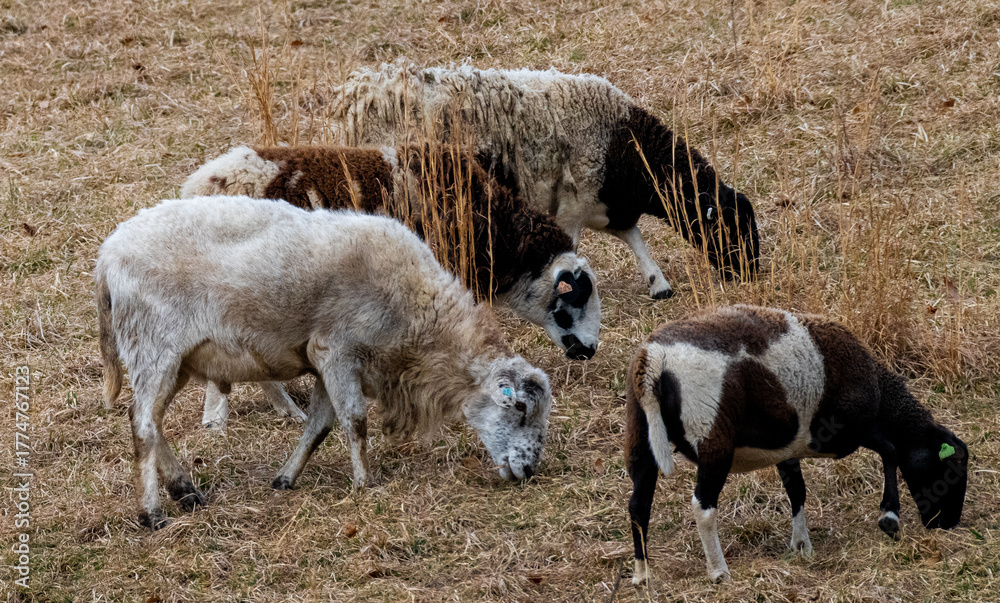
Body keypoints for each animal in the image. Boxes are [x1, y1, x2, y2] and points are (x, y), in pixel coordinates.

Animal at [96, 196, 553, 529]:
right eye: (520, 408)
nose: (530, 470)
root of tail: (107, 254)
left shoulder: (323, 362)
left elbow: (319, 426)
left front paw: (285, 479)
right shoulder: (338, 351)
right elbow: (355, 421)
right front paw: (366, 484)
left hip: (175, 359)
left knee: (150, 423)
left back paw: (185, 491)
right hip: (153, 346)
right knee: (143, 427)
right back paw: (153, 513)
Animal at [327, 62, 760, 299]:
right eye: (732, 228)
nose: (752, 274)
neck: (624, 145)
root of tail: (356, 97)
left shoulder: (603, 203)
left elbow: (634, 238)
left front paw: (659, 284)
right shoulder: (574, 202)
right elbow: (573, 249)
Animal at [624, 305, 968, 584]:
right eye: (951, 469)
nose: (948, 524)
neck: (880, 392)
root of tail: (654, 360)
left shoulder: (788, 449)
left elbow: (797, 491)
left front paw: (801, 545)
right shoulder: (848, 428)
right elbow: (891, 451)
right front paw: (889, 518)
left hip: (640, 435)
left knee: (638, 504)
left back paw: (642, 574)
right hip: (712, 437)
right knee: (703, 506)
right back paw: (719, 571)